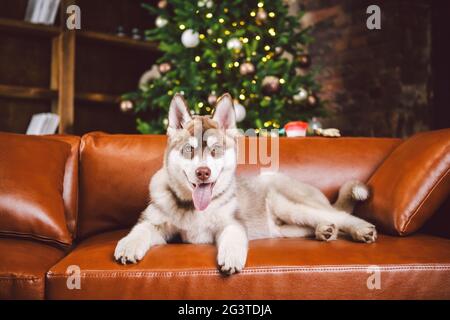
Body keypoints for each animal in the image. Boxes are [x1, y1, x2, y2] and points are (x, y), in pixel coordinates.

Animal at [115, 94, 376, 274]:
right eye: (189, 149)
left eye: (215, 150)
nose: (203, 172)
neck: (194, 209)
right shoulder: (156, 223)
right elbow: (141, 229)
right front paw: (128, 245)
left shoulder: (232, 222)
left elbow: (233, 235)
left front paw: (231, 257)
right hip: (284, 227)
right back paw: (325, 230)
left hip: (289, 203)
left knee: (339, 216)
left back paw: (359, 229)